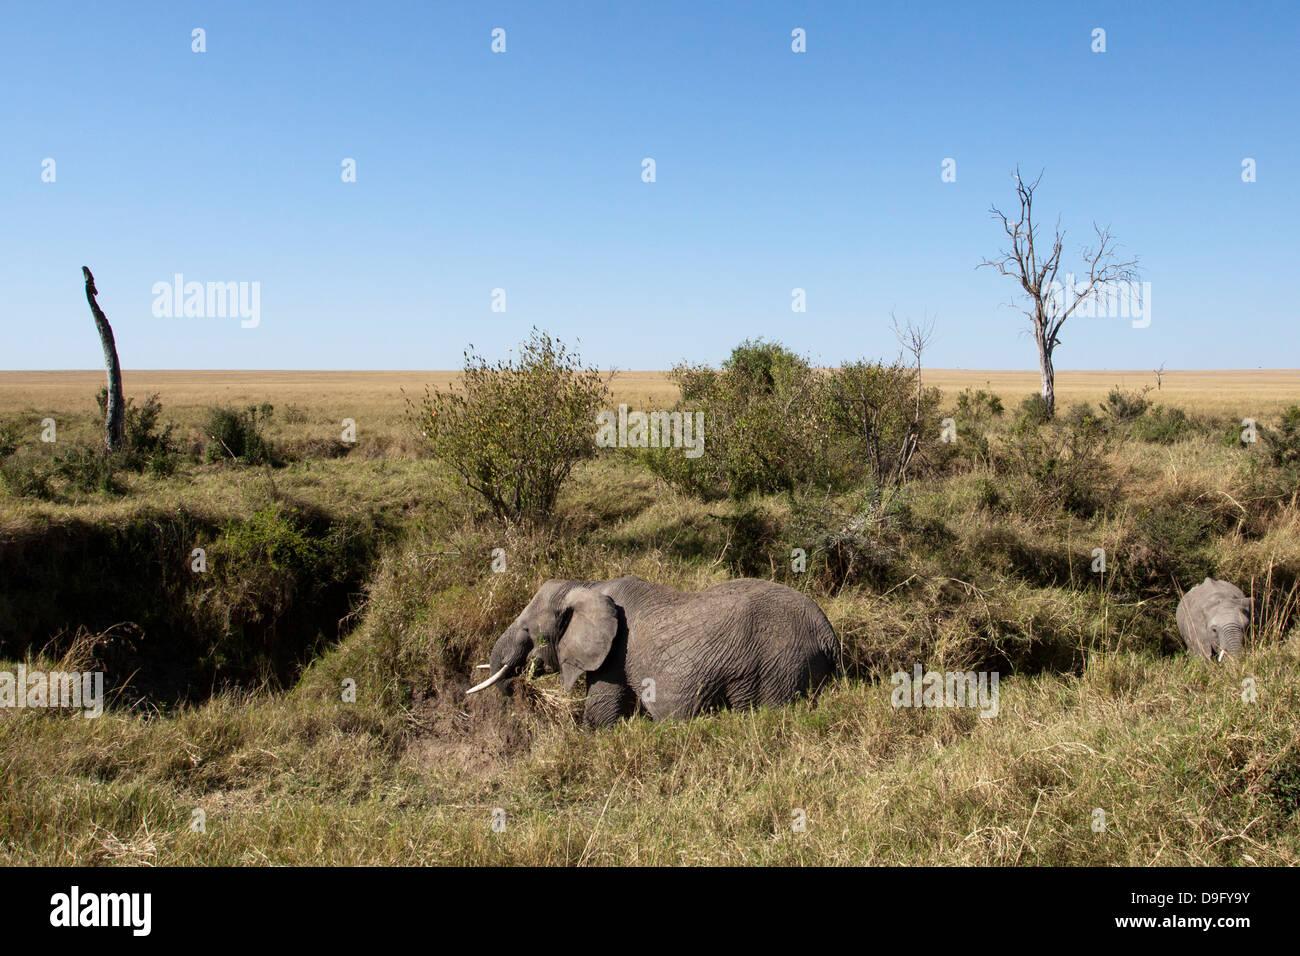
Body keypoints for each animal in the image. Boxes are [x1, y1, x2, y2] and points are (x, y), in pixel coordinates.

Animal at [467, 574, 842, 723]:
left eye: (529, 632)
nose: (517, 689)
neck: (586, 585)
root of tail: (829, 635)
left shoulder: (614, 654)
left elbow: (600, 713)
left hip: (779, 664)